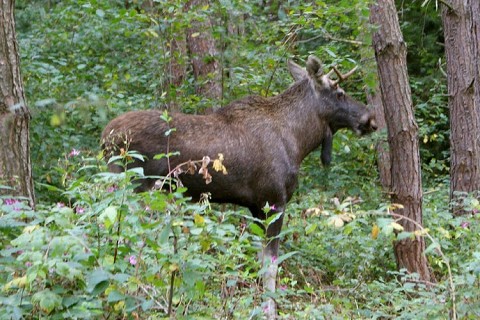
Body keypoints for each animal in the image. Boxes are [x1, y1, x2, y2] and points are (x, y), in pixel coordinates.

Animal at [102, 55, 378, 318]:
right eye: (339, 92)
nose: (370, 119)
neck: (298, 141)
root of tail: (104, 138)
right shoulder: (274, 201)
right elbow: (271, 267)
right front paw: (270, 312)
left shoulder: (256, 207)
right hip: (135, 188)